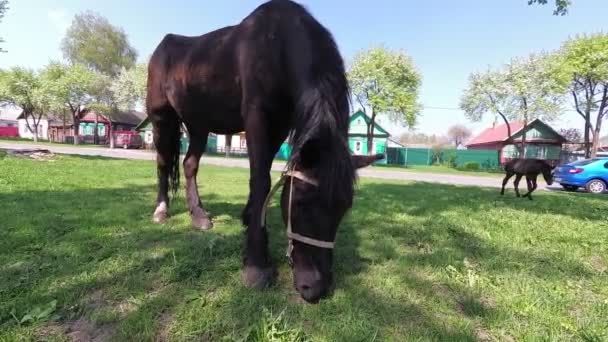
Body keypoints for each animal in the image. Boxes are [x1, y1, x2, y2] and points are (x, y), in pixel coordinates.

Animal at [145, 0, 382, 302]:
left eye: (344, 207)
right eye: (301, 202)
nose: (315, 288)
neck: (276, 44)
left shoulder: (280, 125)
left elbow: (265, 171)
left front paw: (249, 218)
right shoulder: (257, 116)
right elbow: (261, 179)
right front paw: (256, 261)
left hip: (198, 124)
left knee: (189, 165)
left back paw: (199, 215)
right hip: (161, 118)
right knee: (164, 162)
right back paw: (161, 210)